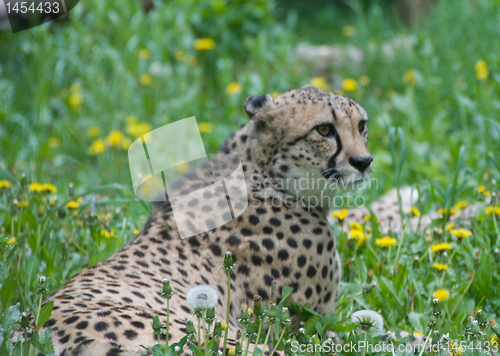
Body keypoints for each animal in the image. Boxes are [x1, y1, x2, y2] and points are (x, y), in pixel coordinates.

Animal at [19, 86, 412, 356]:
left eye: (361, 125)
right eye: (325, 130)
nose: (364, 162)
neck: (260, 169)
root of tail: (29, 335)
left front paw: (406, 197)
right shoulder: (309, 326)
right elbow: (378, 336)